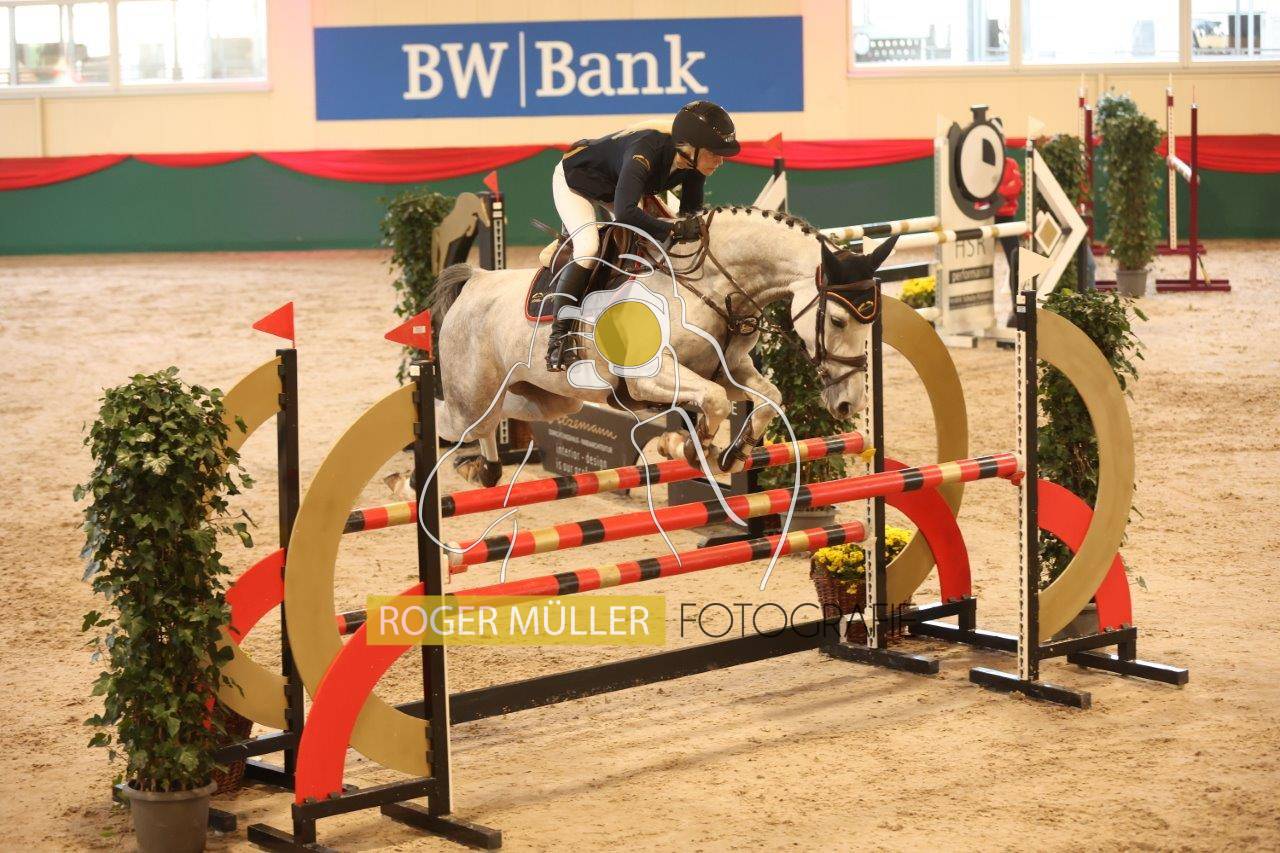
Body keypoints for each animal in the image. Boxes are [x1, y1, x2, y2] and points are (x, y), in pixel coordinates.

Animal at [431, 206, 899, 486]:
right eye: (837, 320)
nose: (849, 405)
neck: (709, 286)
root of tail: (476, 279)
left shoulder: (727, 369)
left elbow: (769, 397)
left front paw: (732, 453)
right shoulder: (648, 379)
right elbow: (712, 402)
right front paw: (693, 448)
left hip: (549, 398)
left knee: (501, 418)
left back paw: (486, 468)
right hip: (470, 398)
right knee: (452, 422)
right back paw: (453, 467)